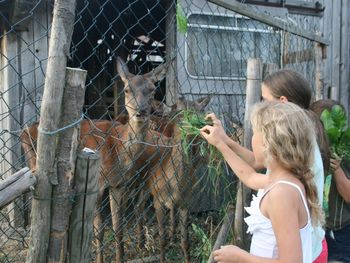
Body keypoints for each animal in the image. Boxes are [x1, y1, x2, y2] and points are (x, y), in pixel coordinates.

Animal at [20, 57, 172, 263]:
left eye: (153, 89)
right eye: (127, 89)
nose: (140, 111)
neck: (118, 150)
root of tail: (24, 131)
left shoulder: (118, 185)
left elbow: (118, 227)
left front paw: (120, 258)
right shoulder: (97, 183)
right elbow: (98, 230)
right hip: (36, 163)